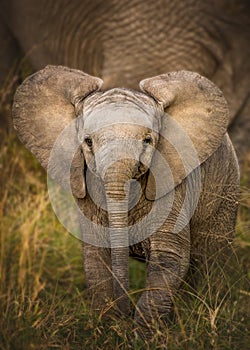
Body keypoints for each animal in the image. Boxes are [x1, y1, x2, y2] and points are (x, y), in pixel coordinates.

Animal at [12, 65, 239, 340]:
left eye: (148, 141)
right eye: (88, 142)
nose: (124, 315)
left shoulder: (175, 180)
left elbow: (169, 257)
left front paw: (144, 336)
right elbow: (96, 259)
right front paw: (108, 329)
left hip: (226, 188)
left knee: (210, 260)